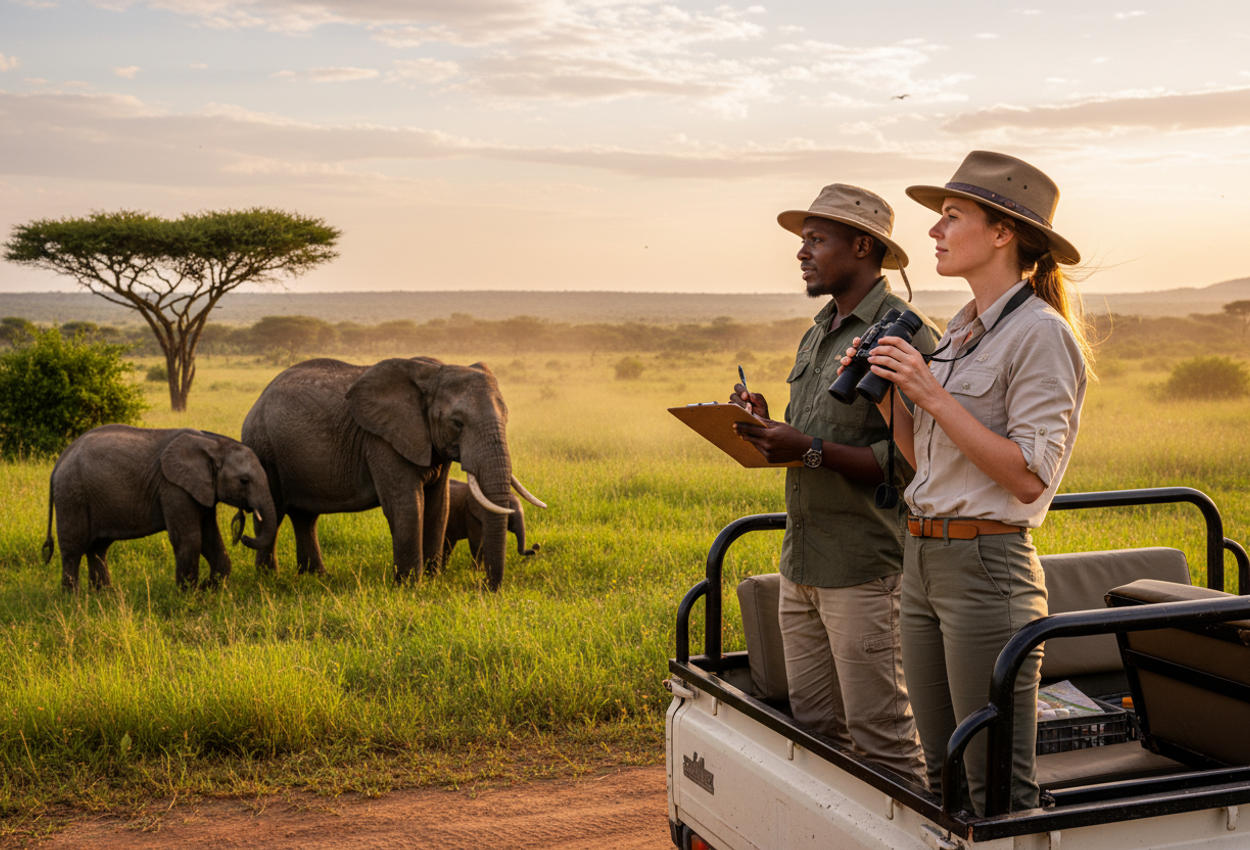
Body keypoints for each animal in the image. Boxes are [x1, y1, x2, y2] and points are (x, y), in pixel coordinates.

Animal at [42, 425, 276, 591]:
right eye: (244, 481)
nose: (243, 537)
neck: (213, 443)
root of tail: (60, 460)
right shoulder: (173, 487)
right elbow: (190, 539)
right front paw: (189, 597)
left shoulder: (202, 489)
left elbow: (210, 538)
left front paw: (208, 590)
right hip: (72, 495)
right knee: (74, 548)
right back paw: (73, 600)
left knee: (98, 548)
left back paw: (104, 595)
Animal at [240, 357, 545, 590]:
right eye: (457, 423)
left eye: (506, 418)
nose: (485, 588)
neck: (435, 370)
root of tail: (258, 399)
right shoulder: (382, 440)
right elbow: (407, 505)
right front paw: (410, 588)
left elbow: (438, 507)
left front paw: (431, 580)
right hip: (263, 447)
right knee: (273, 511)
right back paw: (269, 578)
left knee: (305, 517)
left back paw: (315, 577)